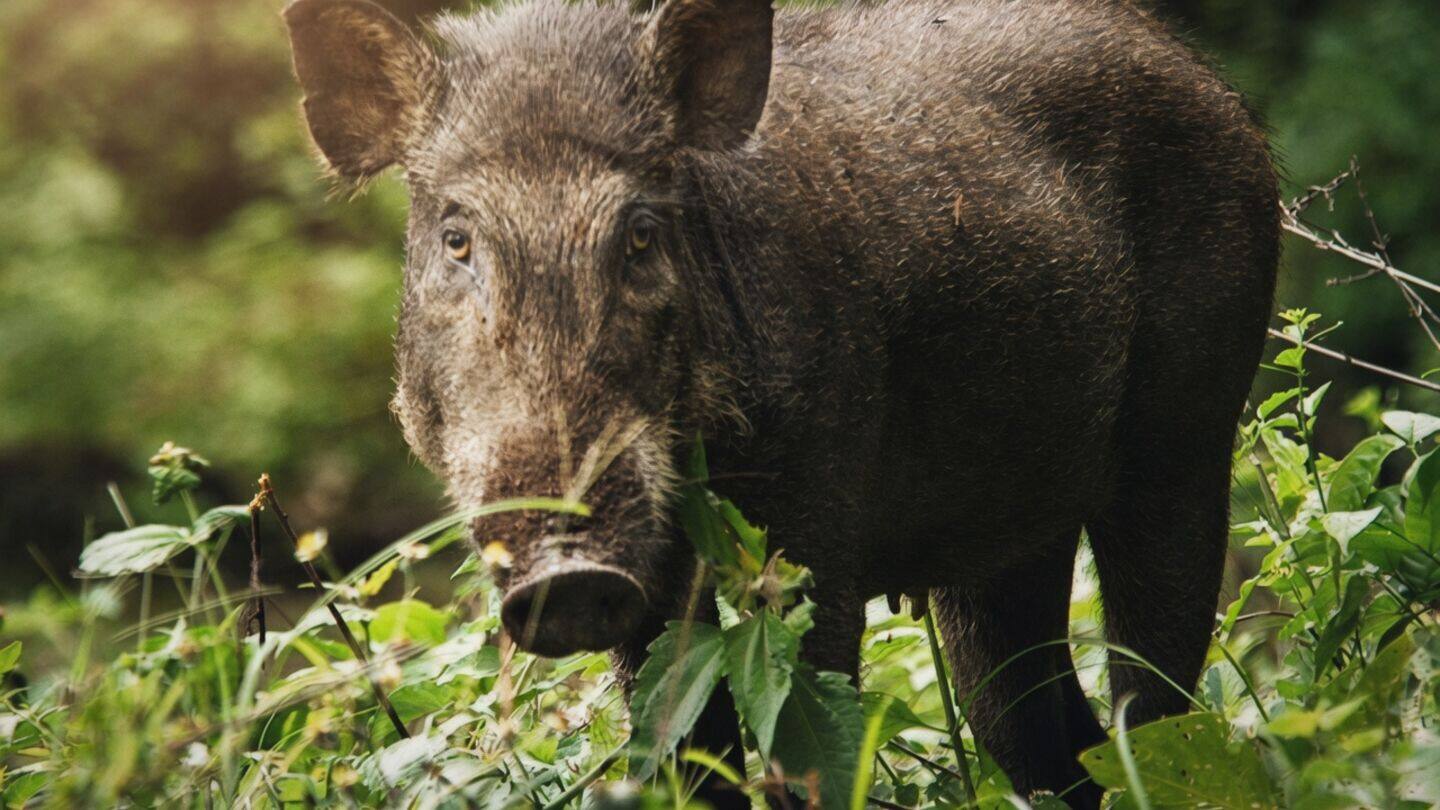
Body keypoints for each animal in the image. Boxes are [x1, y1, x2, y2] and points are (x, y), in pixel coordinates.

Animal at [284, 0, 1278, 805]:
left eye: (640, 234)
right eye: (457, 238)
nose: (567, 571)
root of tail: (1212, 84)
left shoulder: (816, 534)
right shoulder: (653, 610)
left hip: (1191, 432)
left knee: (1155, 704)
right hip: (1005, 543)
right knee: (1046, 736)